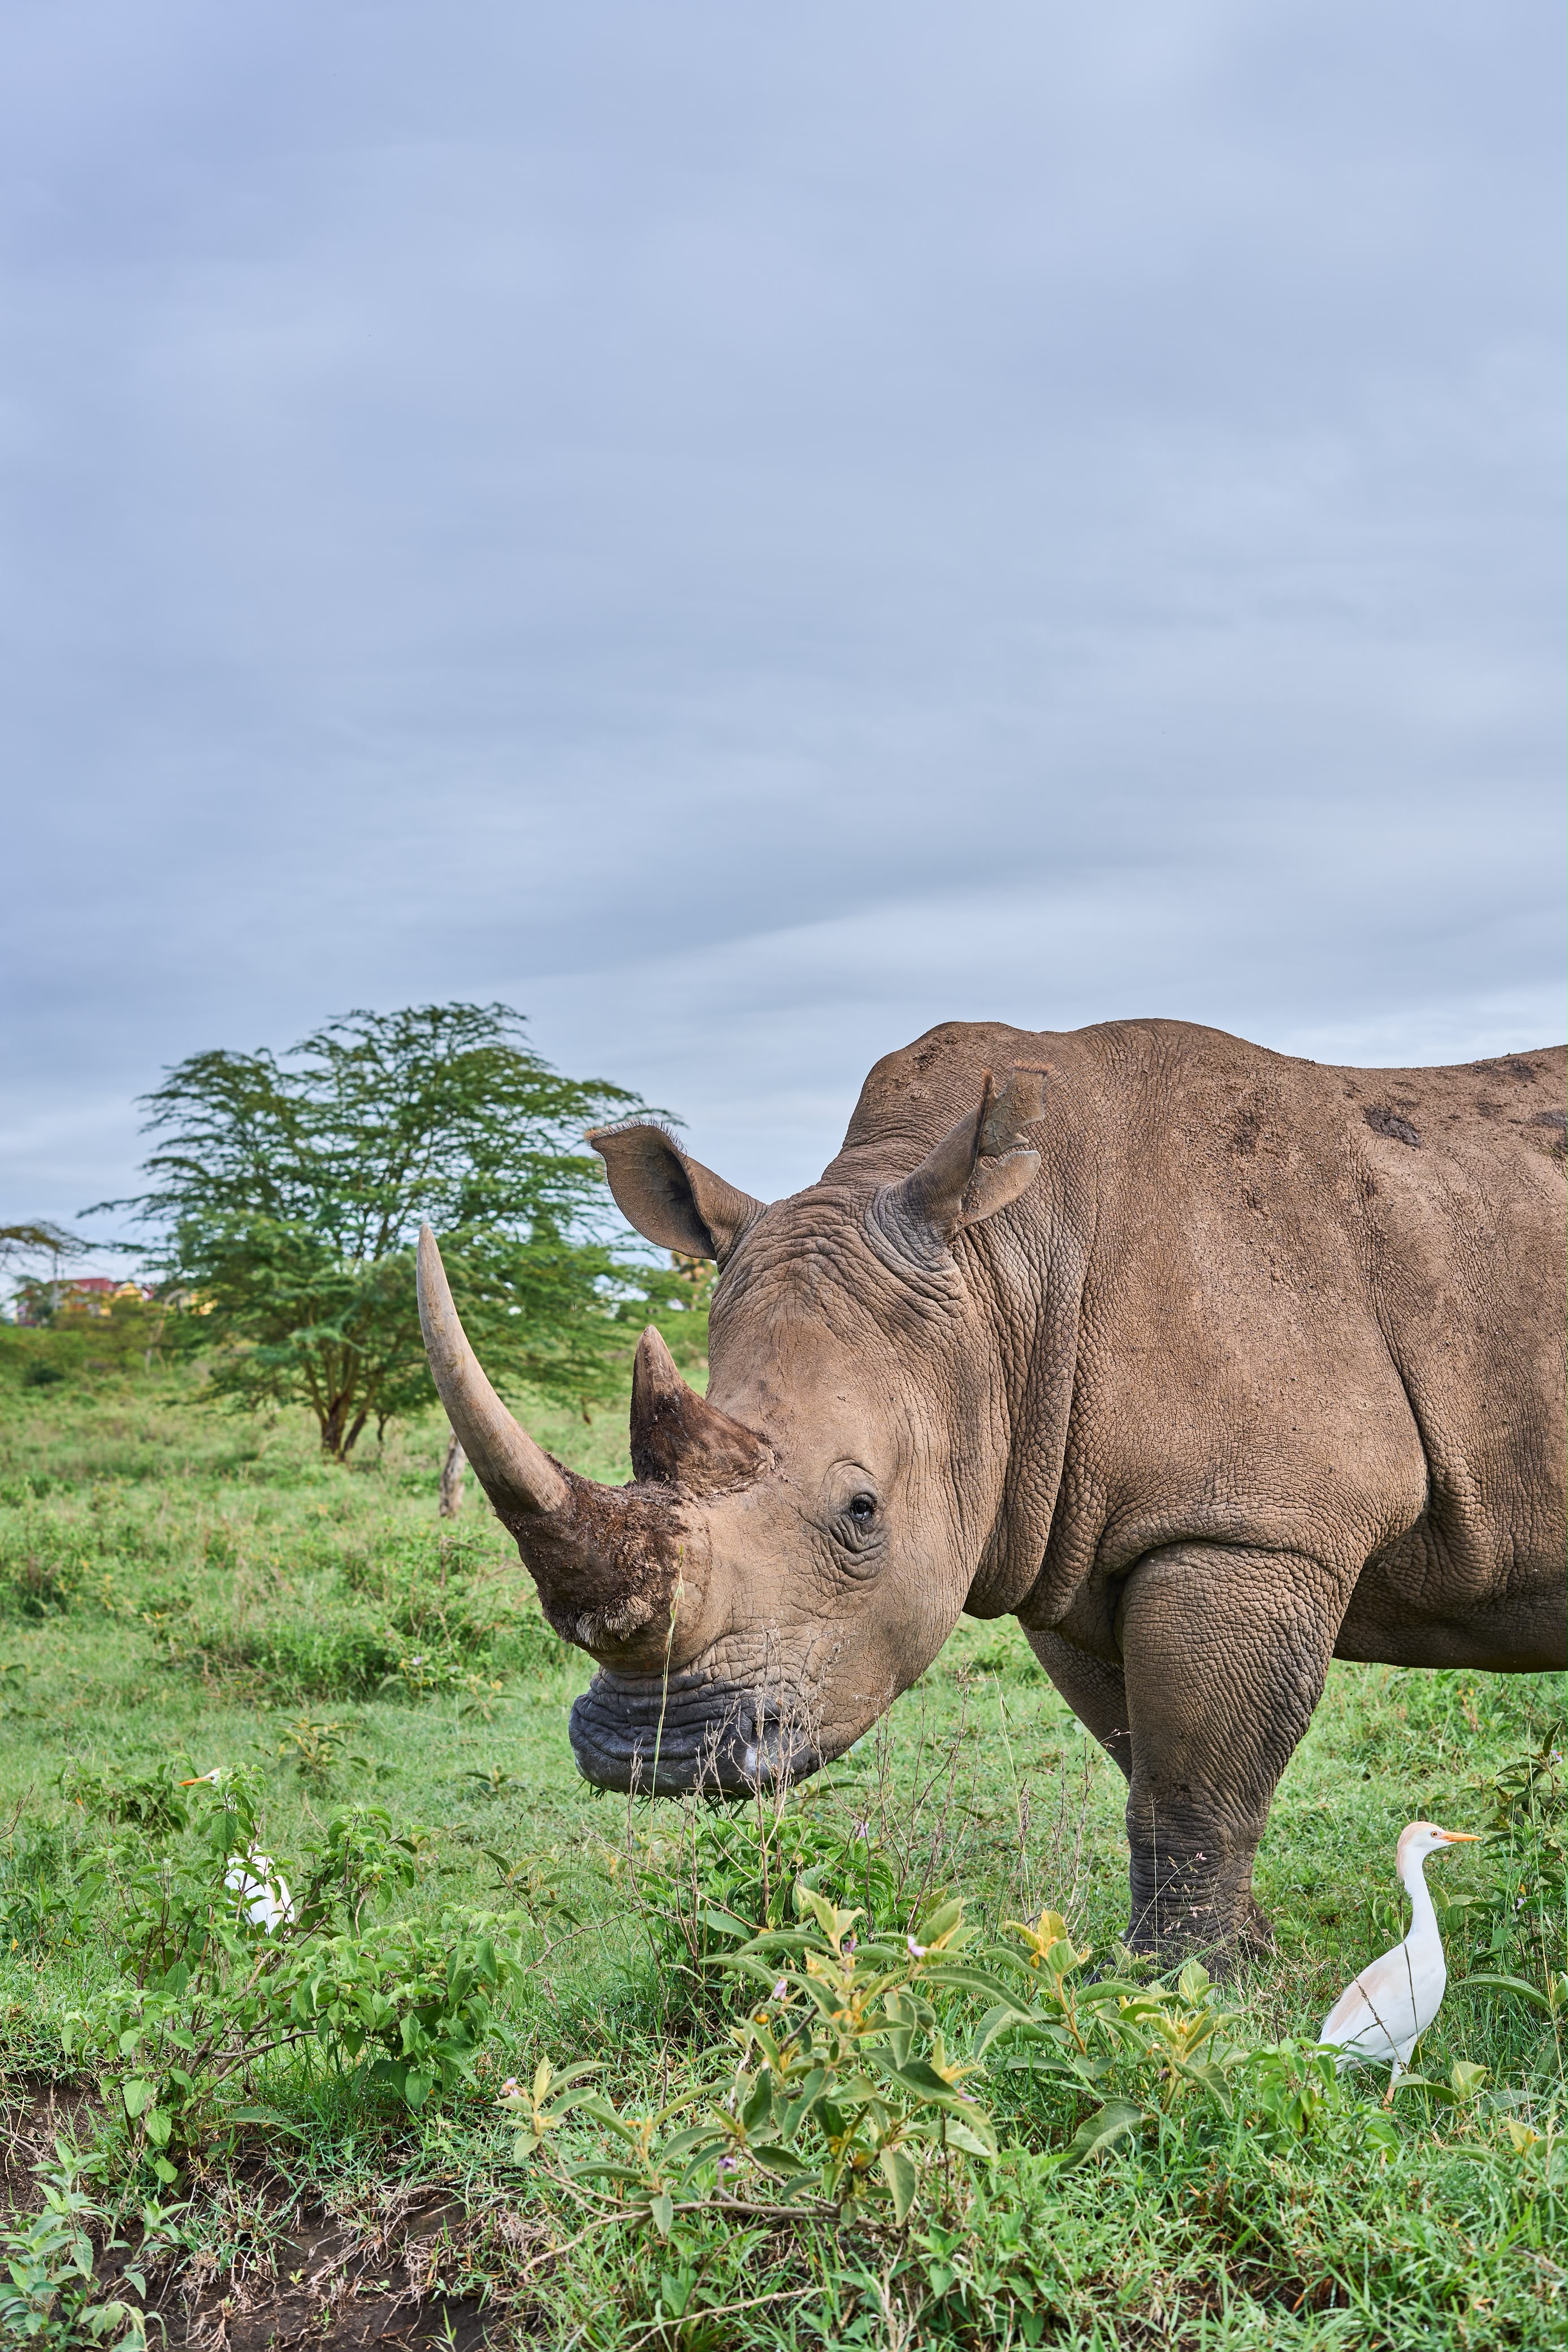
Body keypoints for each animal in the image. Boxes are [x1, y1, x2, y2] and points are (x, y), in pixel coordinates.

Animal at [419, 1018, 1568, 1956]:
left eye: (860, 1511)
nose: (646, 1758)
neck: (1003, 1276)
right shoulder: (1079, 1535)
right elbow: (1145, 1763)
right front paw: (1217, 1967)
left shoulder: (1246, 1525)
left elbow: (1197, 1784)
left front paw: (1184, 1993)